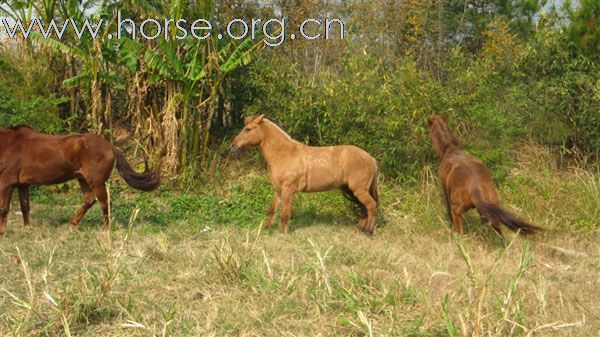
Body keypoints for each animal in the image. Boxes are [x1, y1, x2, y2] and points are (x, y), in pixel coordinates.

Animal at [0, 124, 162, 235]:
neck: (7, 145)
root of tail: (110, 147)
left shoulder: (6, 183)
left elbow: (4, 208)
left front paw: (2, 233)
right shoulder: (22, 184)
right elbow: (25, 206)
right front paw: (27, 228)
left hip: (96, 182)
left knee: (104, 202)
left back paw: (105, 228)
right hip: (83, 180)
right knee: (89, 200)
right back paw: (72, 224)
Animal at [232, 114, 378, 235]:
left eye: (248, 129)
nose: (233, 145)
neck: (285, 154)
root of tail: (372, 159)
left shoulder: (288, 190)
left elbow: (285, 214)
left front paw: (282, 234)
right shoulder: (279, 190)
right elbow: (272, 209)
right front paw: (267, 229)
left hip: (359, 190)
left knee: (371, 206)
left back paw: (368, 232)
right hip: (352, 190)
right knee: (364, 208)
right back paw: (359, 229)